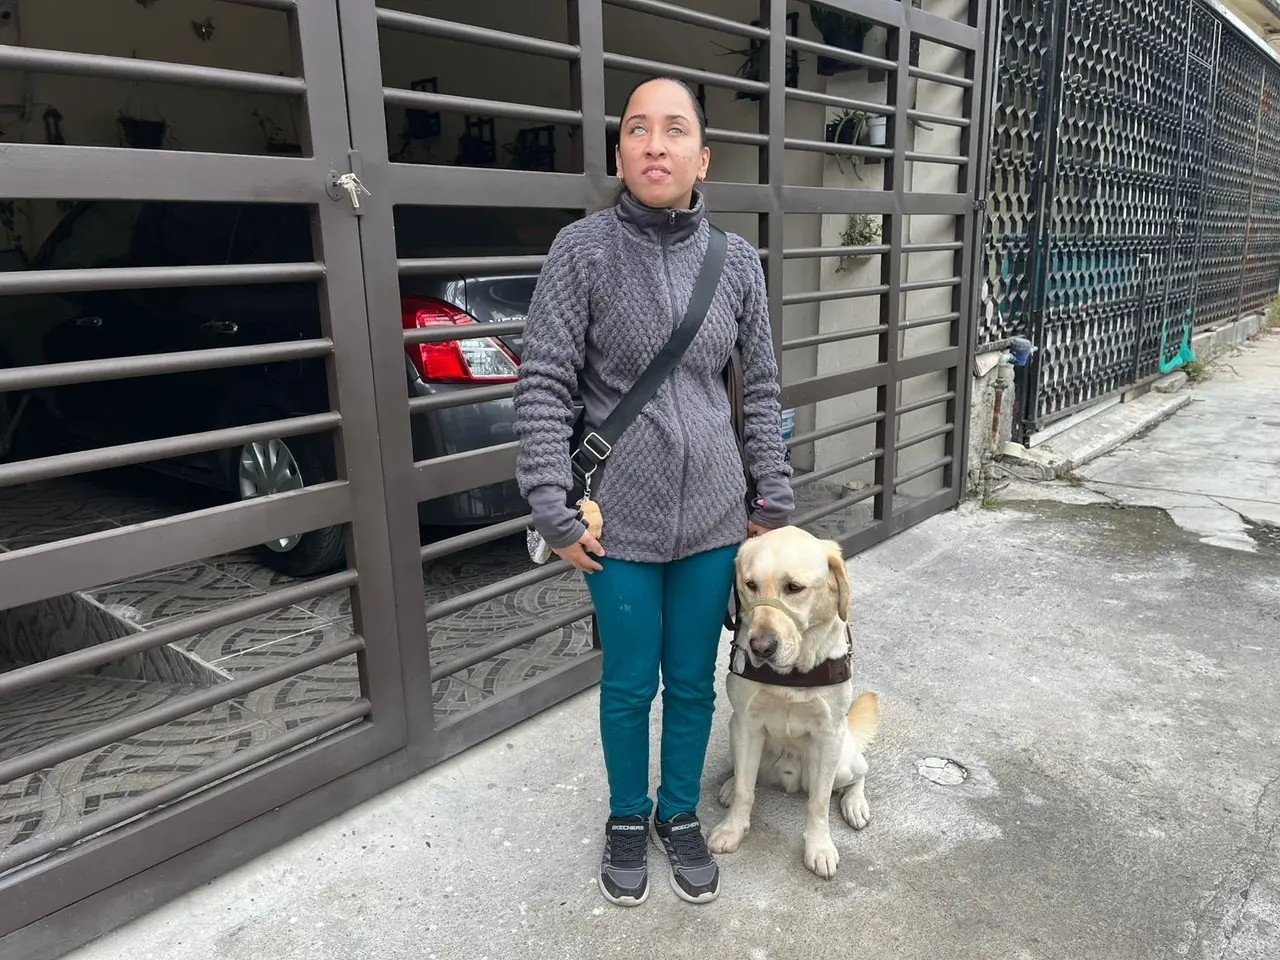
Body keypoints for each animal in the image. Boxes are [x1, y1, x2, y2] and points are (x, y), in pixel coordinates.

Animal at [711, 527, 880, 880]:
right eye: (750, 584)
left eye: (794, 588)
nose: (761, 647)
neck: (793, 672)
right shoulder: (746, 724)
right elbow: (747, 790)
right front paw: (733, 829)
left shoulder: (828, 736)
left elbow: (818, 803)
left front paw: (819, 848)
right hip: (742, 741)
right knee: (746, 776)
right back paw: (730, 785)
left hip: (843, 761)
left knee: (859, 772)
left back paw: (854, 803)